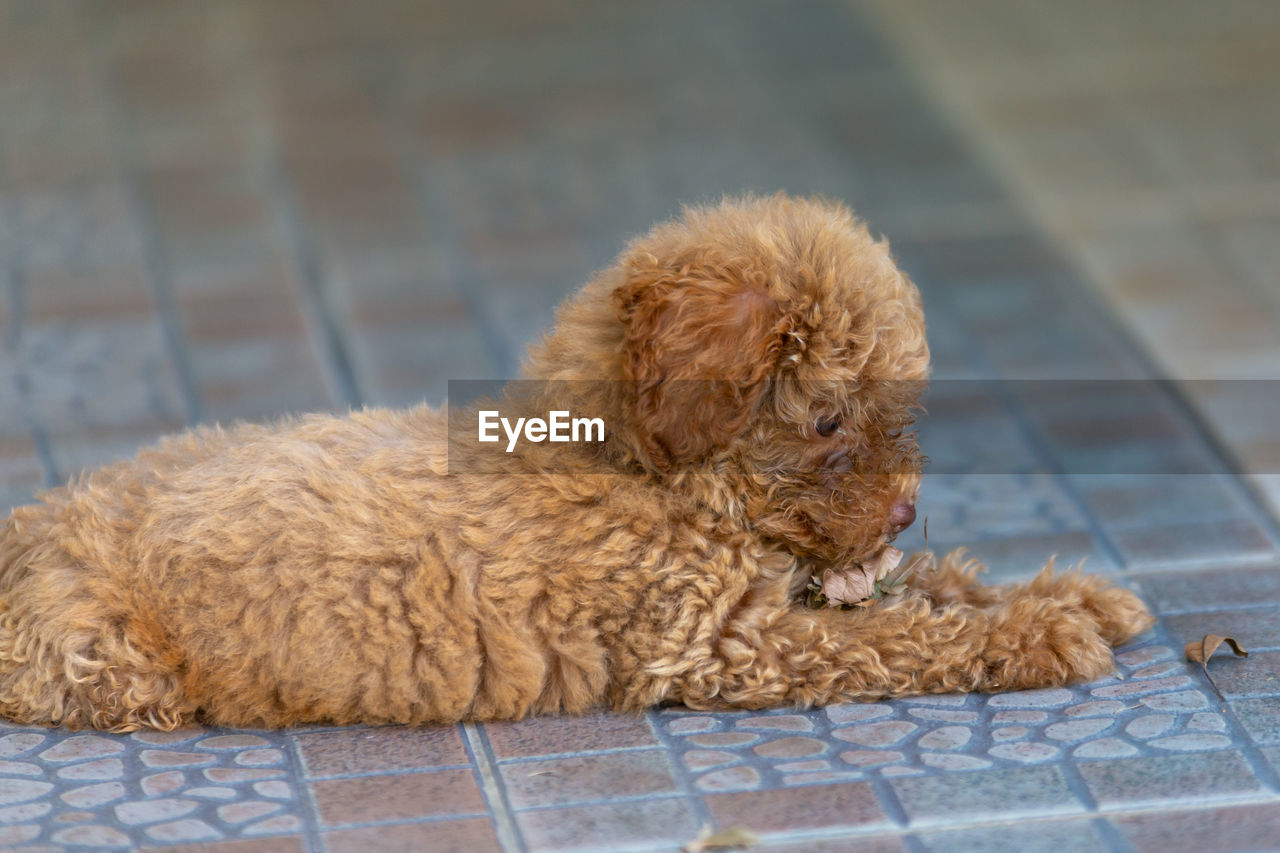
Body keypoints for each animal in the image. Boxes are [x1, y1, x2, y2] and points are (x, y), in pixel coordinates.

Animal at [0, 195, 1162, 727]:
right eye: (830, 422)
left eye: (897, 413)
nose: (907, 510)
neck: (638, 466)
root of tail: (29, 522)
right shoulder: (717, 647)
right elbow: (894, 635)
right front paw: (1036, 630)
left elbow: (917, 590)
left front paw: (1066, 594)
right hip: (111, 662)